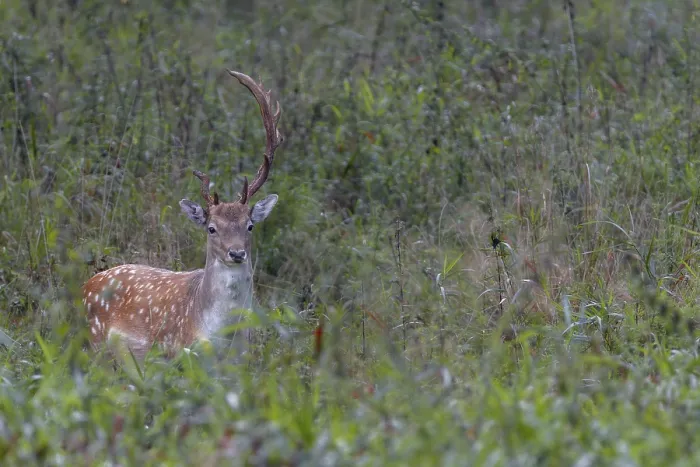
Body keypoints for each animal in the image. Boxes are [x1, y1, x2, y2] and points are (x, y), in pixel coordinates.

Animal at [82, 70, 283, 365]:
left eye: (250, 226)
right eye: (211, 228)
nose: (236, 253)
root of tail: (86, 285)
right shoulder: (181, 354)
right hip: (95, 347)